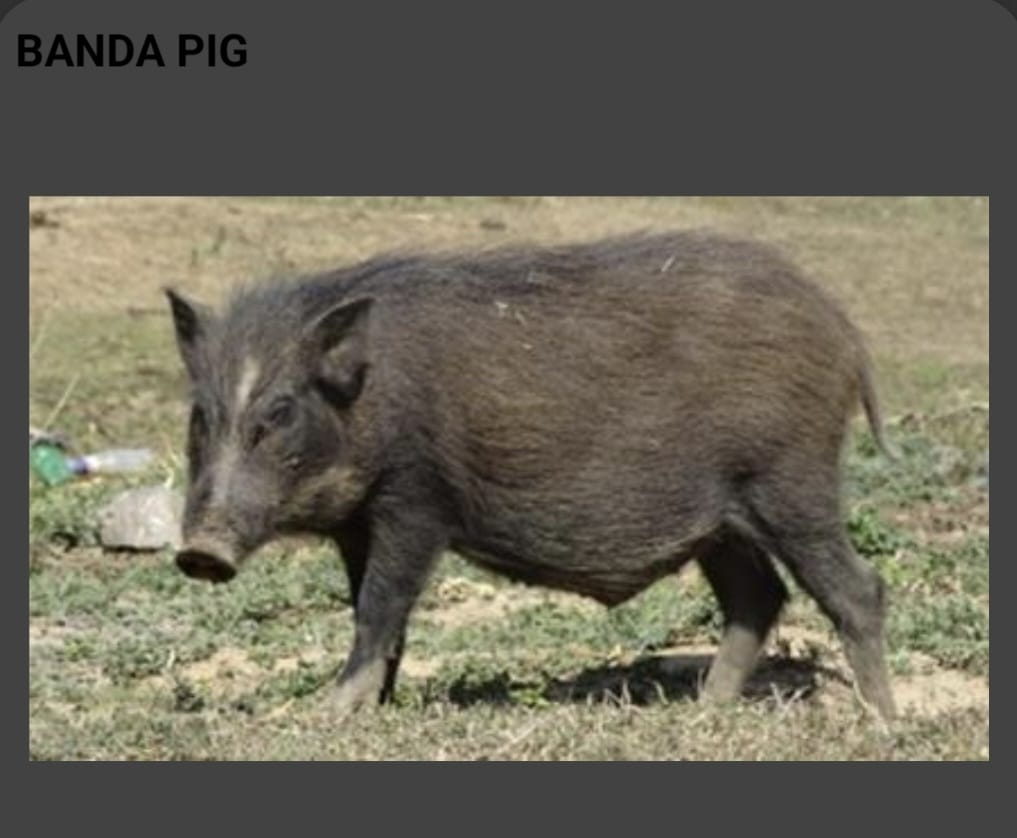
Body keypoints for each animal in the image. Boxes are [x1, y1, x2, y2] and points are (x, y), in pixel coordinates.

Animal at [166, 230, 897, 721]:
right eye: (200, 413)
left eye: (280, 411)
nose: (199, 552)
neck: (369, 398)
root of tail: (844, 332)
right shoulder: (357, 525)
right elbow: (373, 616)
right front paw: (377, 705)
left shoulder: (416, 501)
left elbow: (380, 605)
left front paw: (331, 714)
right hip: (723, 524)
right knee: (757, 597)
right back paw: (704, 710)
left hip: (792, 482)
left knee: (857, 589)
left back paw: (881, 720)